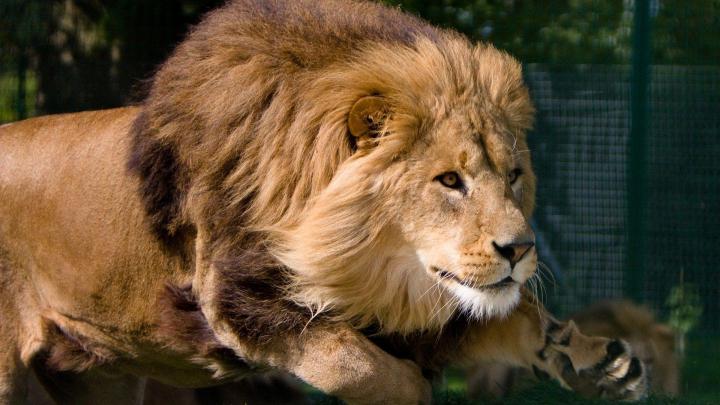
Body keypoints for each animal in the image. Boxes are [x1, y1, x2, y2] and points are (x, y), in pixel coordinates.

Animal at [0, 0, 647, 403]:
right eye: (449, 181)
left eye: (513, 176)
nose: (521, 248)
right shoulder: (234, 297)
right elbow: (358, 364)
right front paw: (416, 388)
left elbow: (518, 316)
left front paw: (602, 363)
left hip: (97, 375)